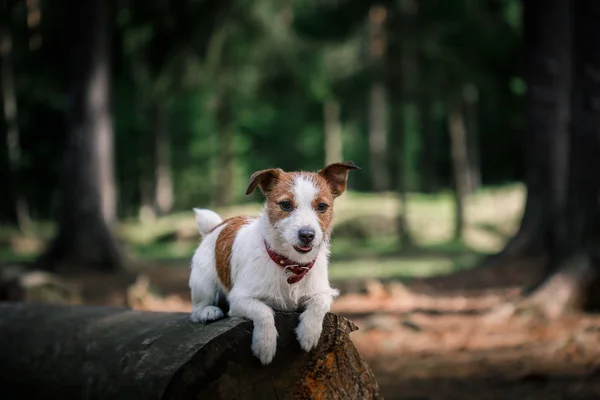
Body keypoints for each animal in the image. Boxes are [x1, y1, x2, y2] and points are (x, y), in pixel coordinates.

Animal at [190, 161, 360, 364]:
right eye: (286, 205)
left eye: (322, 206)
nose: (307, 235)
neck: (291, 265)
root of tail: (217, 226)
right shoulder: (239, 299)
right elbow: (263, 311)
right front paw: (265, 344)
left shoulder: (323, 292)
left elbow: (319, 304)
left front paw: (309, 332)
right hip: (203, 281)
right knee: (197, 308)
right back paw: (208, 311)